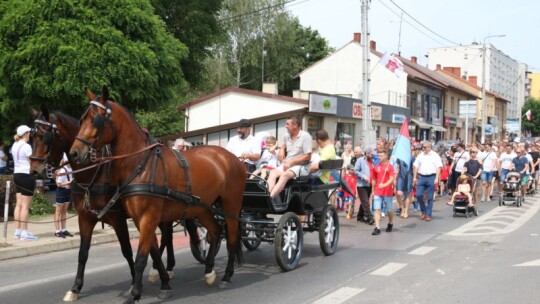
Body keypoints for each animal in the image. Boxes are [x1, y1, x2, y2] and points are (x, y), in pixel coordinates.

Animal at [29, 105, 190, 300]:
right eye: (31, 136)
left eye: (45, 136)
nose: (34, 171)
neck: (94, 172)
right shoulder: (85, 218)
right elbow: (83, 253)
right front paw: (75, 288)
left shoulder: (118, 218)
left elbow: (127, 250)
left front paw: (134, 283)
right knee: (163, 239)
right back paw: (165, 269)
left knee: (165, 237)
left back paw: (163, 271)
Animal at [68, 86, 246, 304]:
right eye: (81, 119)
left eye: (96, 120)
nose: (75, 153)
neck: (140, 164)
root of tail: (234, 159)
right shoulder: (138, 219)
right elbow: (151, 251)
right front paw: (160, 281)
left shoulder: (147, 217)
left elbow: (141, 257)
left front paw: (135, 294)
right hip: (202, 207)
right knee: (214, 232)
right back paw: (209, 271)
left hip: (231, 204)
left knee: (232, 236)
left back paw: (226, 276)